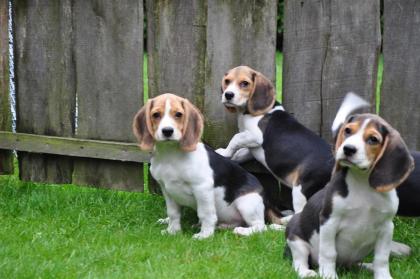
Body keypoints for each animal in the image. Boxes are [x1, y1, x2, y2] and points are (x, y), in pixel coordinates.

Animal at [131, 93, 282, 240]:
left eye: (178, 114)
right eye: (156, 115)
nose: (167, 131)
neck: (170, 154)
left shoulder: (202, 188)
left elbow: (205, 214)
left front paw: (205, 235)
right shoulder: (167, 189)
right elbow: (173, 213)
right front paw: (173, 231)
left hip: (247, 203)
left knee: (261, 227)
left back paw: (241, 231)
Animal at [286, 94, 414, 279]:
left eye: (373, 139)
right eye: (348, 131)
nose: (348, 149)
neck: (362, 184)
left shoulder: (386, 228)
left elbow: (382, 258)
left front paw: (383, 276)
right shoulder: (329, 221)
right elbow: (329, 253)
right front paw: (328, 275)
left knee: (358, 264)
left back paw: (367, 267)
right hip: (295, 237)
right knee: (299, 260)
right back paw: (307, 272)